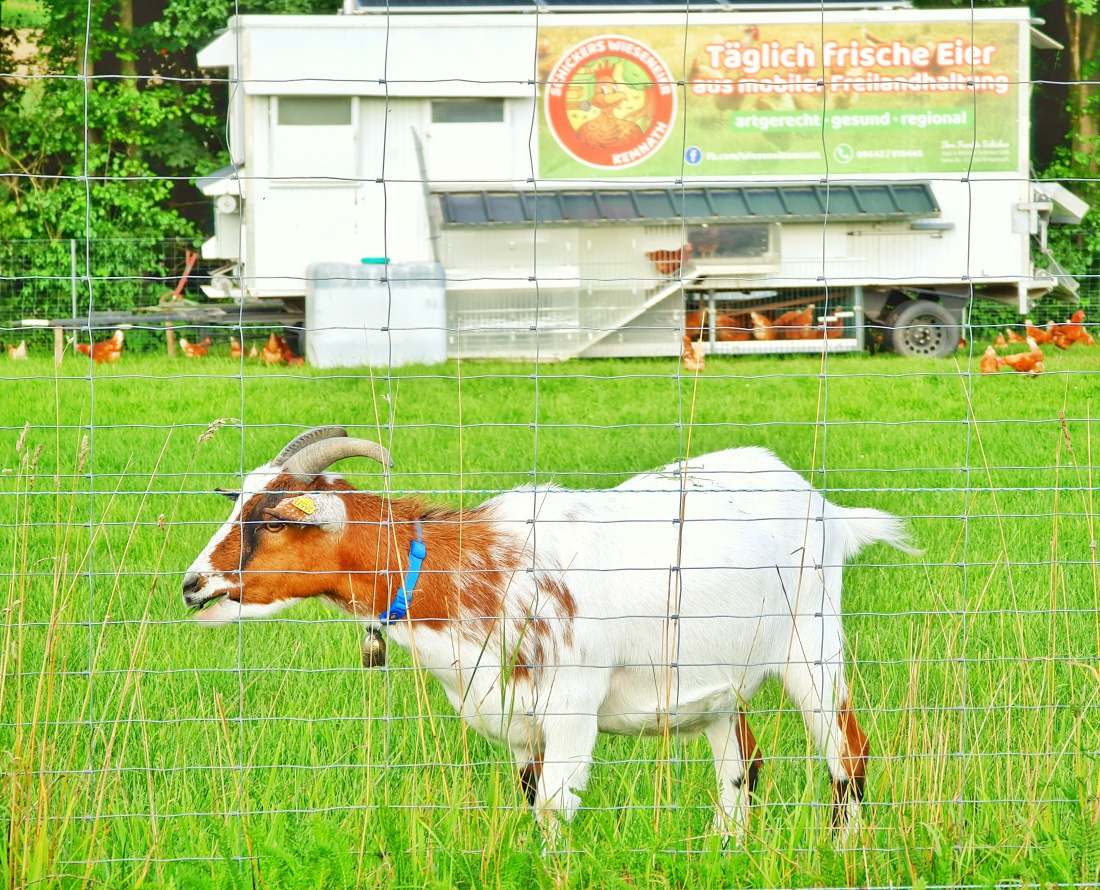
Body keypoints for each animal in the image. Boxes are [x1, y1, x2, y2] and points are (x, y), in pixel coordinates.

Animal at [184, 426, 915, 836]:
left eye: (275, 518)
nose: (193, 585)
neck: (485, 567)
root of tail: (825, 506)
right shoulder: (517, 725)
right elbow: (531, 805)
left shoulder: (571, 711)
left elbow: (553, 816)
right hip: (714, 685)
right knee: (742, 765)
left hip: (813, 650)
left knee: (848, 757)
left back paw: (844, 850)